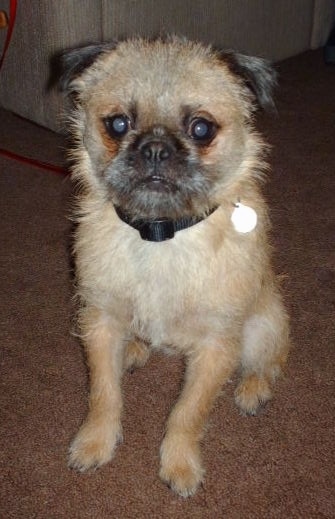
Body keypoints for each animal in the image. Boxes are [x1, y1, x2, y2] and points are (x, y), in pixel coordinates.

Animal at [60, 38, 292, 498]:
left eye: (201, 129)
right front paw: (95, 442)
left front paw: (180, 464)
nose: (154, 148)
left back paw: (253, 388)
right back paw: (135, 348)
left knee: (268, 359)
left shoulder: (216, 348)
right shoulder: (100, 323)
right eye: (118, 124)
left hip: (264, 325)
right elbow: (104, 393)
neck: (160, 234)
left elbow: (188, 412)